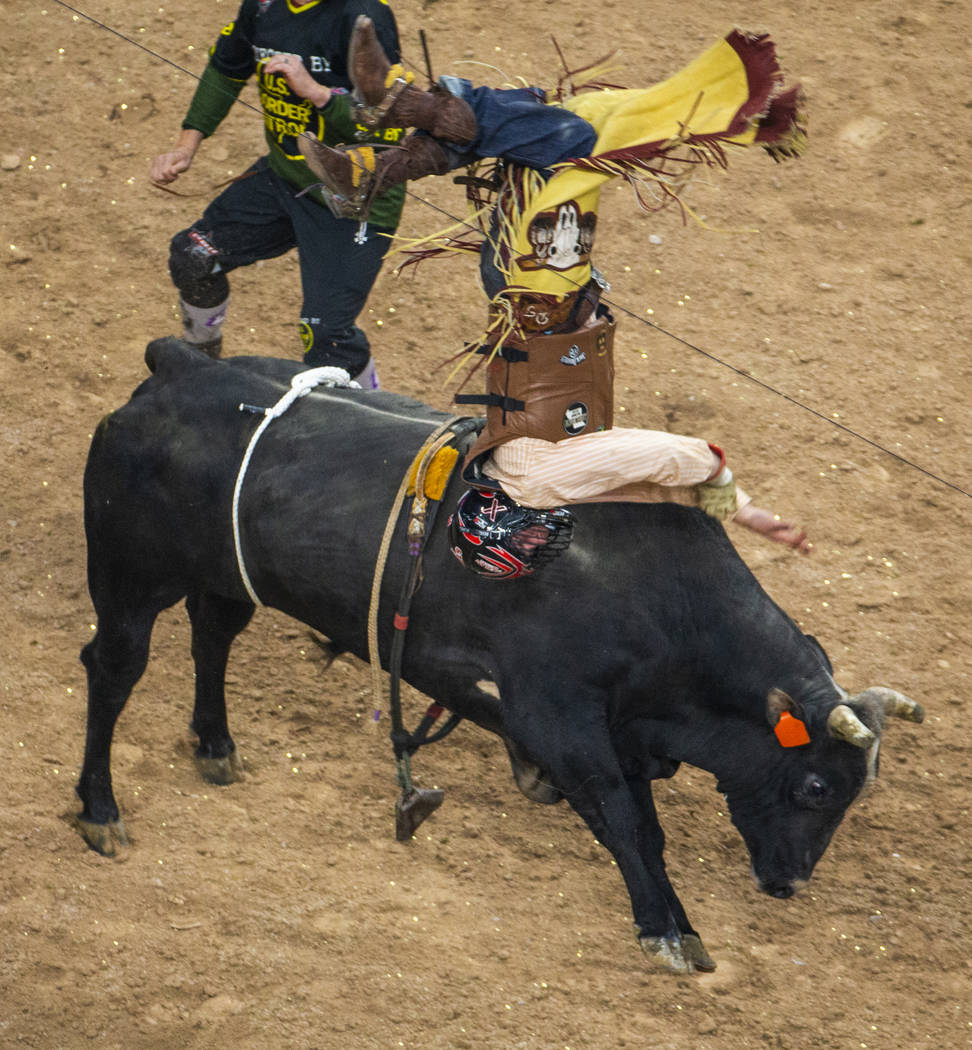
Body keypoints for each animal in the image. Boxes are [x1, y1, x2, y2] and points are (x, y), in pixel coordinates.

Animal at [78, 338, 927, 974]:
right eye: (816, 786)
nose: (790, 883)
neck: (658, 599)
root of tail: (181, 366)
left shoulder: (617, 730)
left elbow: (636, 818)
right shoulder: (564, 721)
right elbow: (626, 821)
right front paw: (666, 928)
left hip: (227, 575)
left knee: (213, 634)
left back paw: (215, 745)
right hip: (128, 578)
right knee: (113, 670)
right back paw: (100, 811)